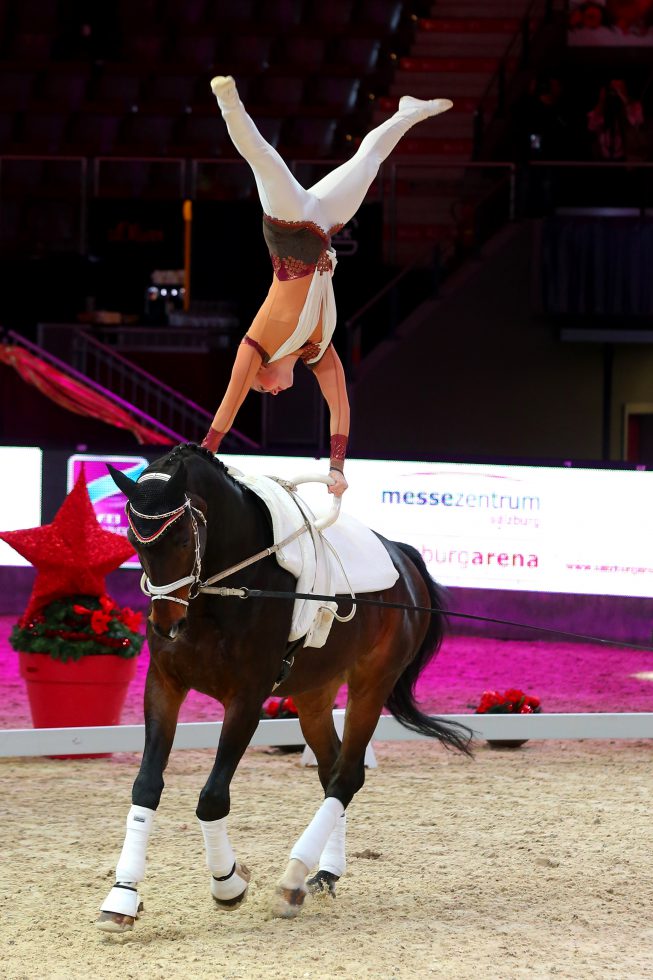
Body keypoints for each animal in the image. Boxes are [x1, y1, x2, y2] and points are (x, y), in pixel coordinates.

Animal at [97, 446, 472, 936]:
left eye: (180, 541)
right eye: (134, 542)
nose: (167, 626)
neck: (221, 592)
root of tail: (403, 559)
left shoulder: (248, 698)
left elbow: (212, 798)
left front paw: (228, 883)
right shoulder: (164, 685)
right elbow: (145, 786)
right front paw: (122, 896)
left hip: (372, 683)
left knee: (347, 776)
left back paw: (292, 880)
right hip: (314, 693)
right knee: (332, 770)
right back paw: (324, 872)